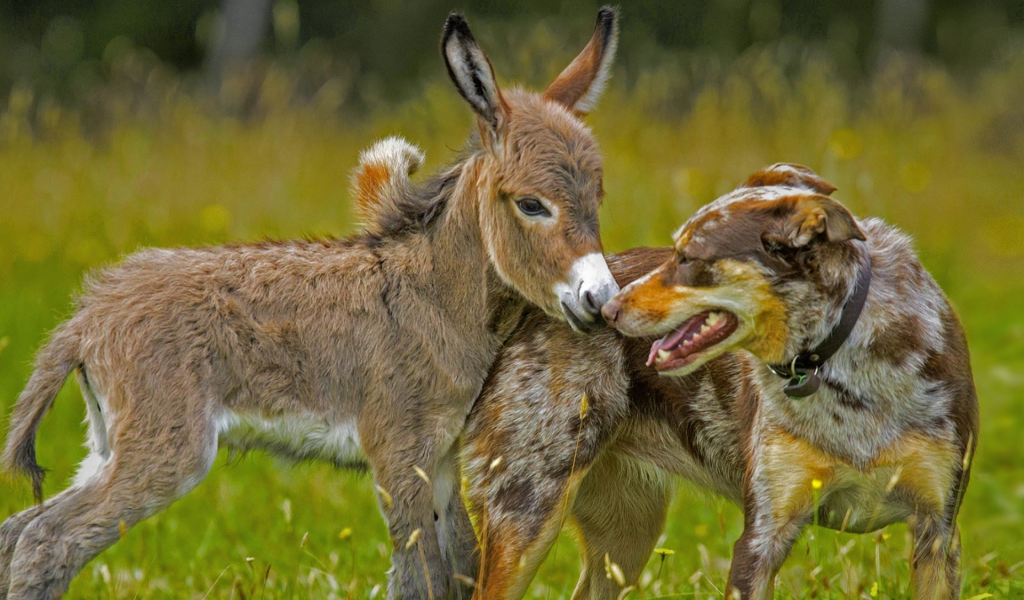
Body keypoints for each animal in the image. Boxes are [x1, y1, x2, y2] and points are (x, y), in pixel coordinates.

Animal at [0, 9, 618, 597]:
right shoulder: (399, 450)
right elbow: (421, 578)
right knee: (46, 541)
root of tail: (90, 314)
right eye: (532, 205)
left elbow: (461, 568)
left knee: (17, 530)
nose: (602, 299)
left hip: (109, 446)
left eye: (597, 197)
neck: (437, 298)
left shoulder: (441, 455)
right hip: (166, 451)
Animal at [462, 163, 974, 597]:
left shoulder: (937, 531)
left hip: (627, 535)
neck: (839, 368)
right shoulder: (761, 537)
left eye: (688, 257)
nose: (604, 309)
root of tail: (535, 308)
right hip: (527, 516)